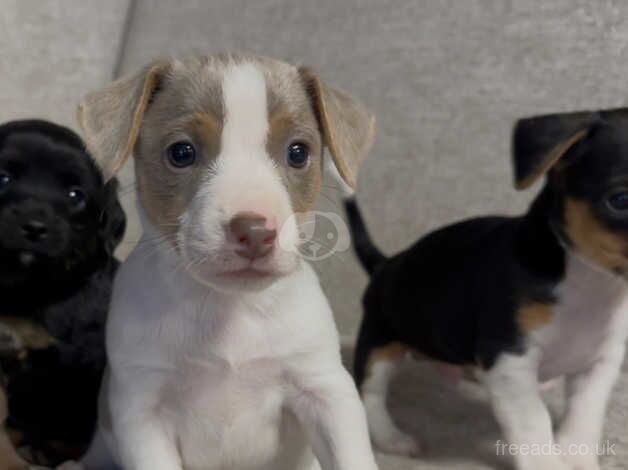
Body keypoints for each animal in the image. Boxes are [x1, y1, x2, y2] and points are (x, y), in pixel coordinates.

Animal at [73, 54, 378, 470]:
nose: (255, 231)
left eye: (298, 152)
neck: (229, 308)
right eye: (181, 152)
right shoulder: (142, 411)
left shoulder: (326, 392)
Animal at [346, 107, 628, 470]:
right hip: (379, 344)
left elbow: (584, 417)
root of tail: (385, 263)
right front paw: (548, 462)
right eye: (620, 200)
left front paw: (576, 458)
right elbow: (534, 425)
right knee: (371, 394)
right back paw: (391, 438)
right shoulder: (511, 361)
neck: (590, 285)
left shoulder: (599, 364)